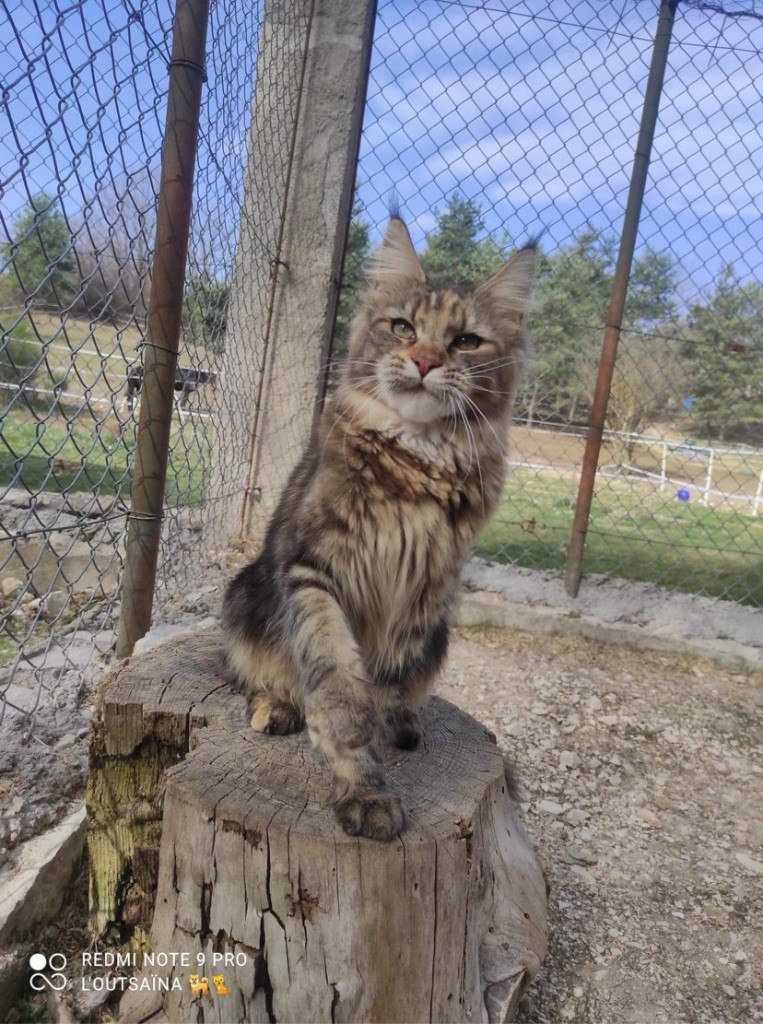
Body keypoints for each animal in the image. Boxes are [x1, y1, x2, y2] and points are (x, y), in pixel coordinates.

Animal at [222, 214, 536, 839]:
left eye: (465, 341)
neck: (417, 464)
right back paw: (276, 707)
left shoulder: (423, 590)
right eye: (402, 327)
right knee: (254, 673)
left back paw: (409, 725)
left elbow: (385, 686)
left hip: (440, 632)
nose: (425, 361)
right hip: (245, 591)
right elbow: (338, 689)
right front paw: (362, 790)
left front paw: (381, 757)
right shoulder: (311, 568)